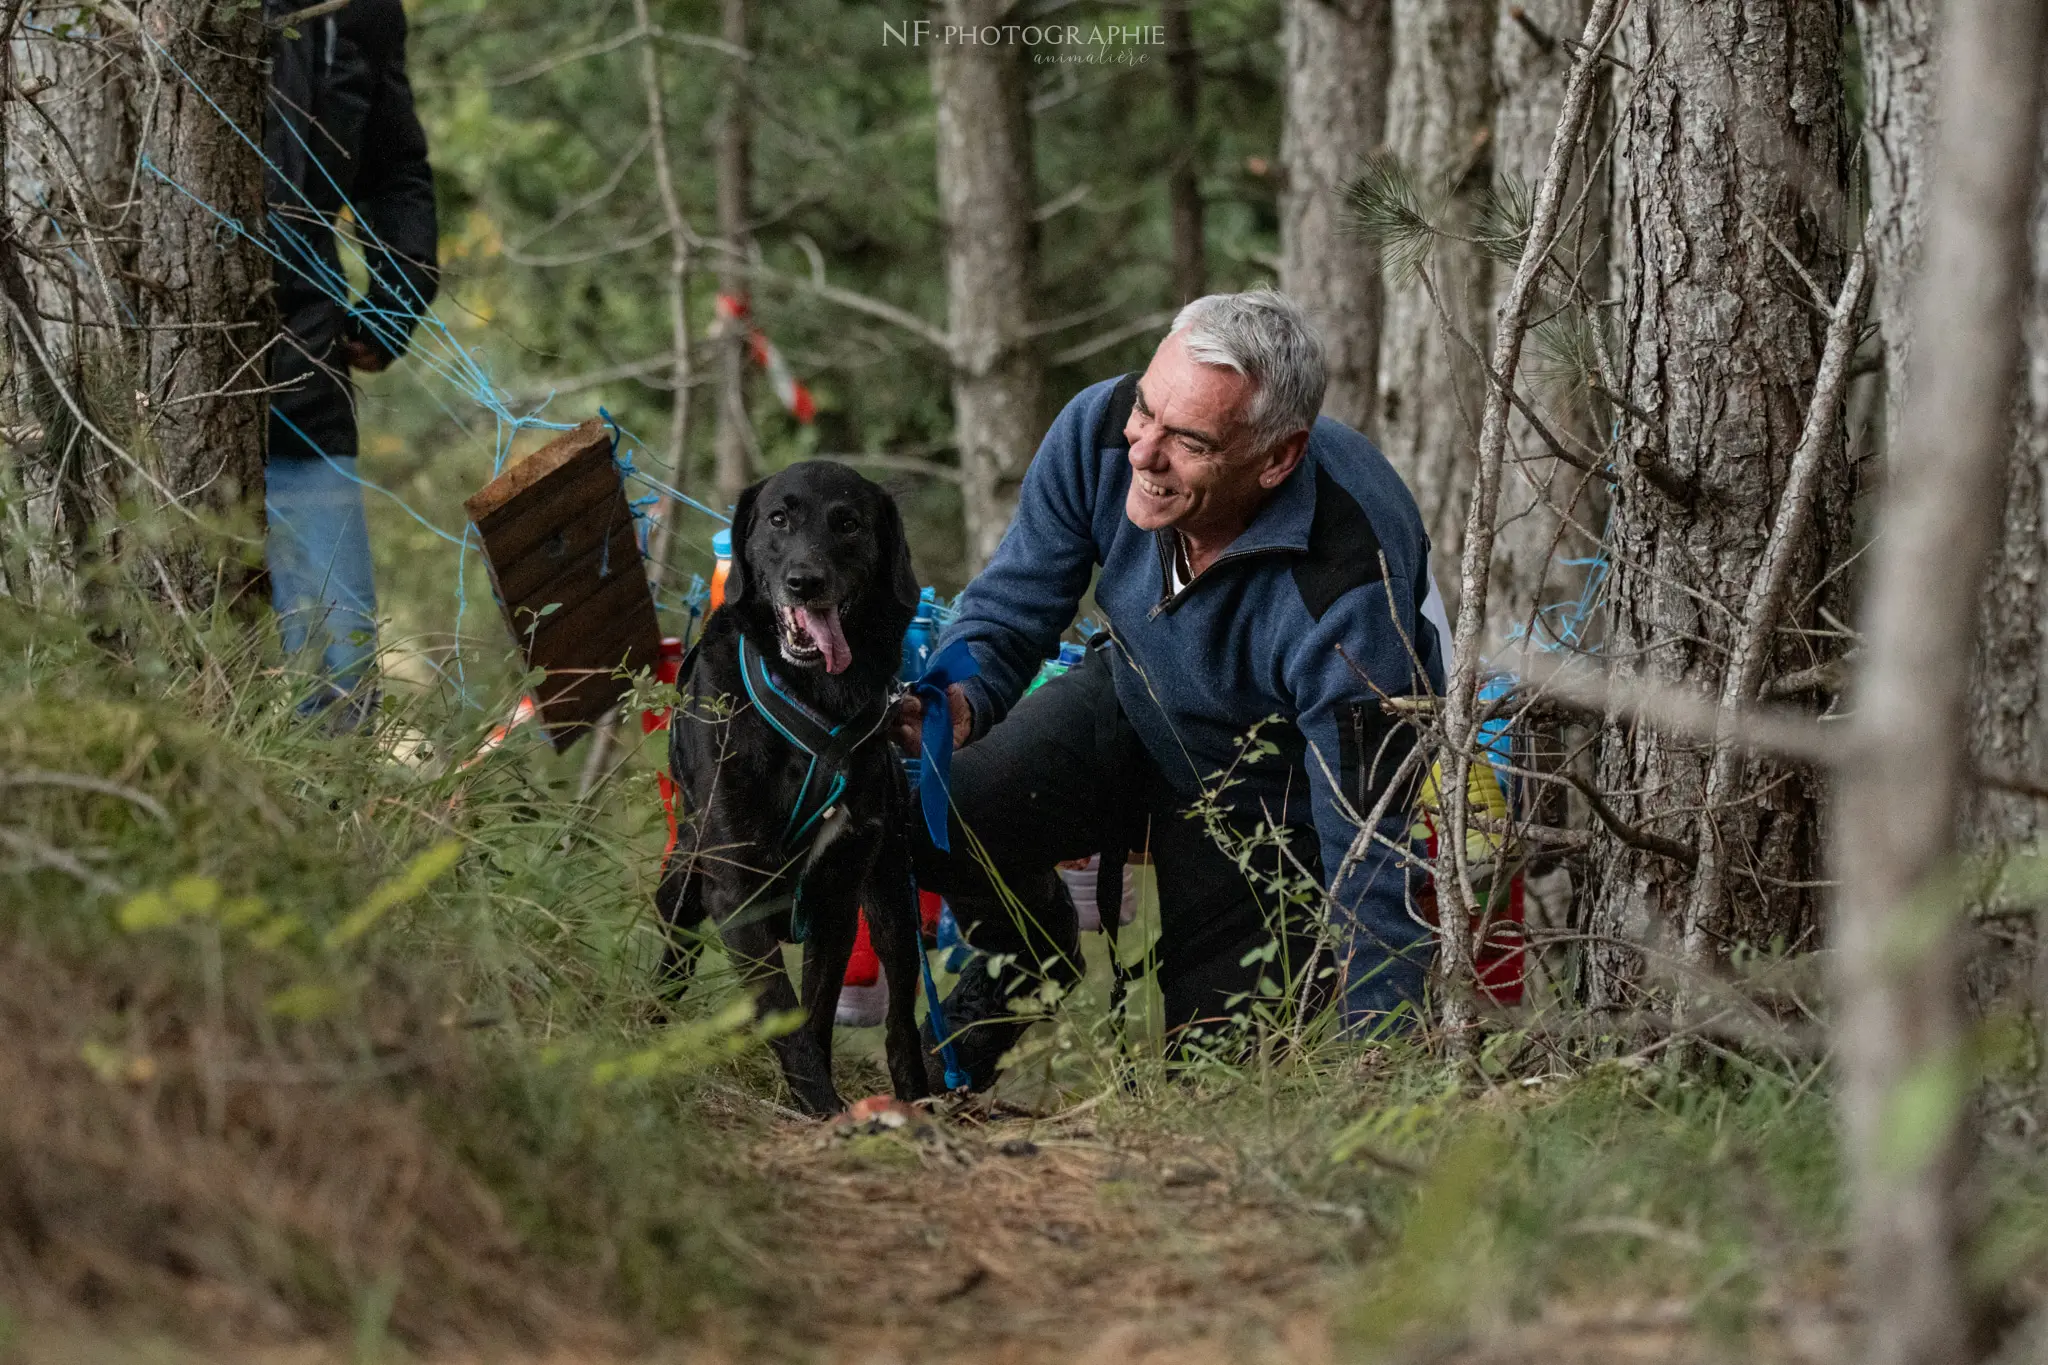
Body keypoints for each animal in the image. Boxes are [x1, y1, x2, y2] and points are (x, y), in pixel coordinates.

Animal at [655, 464, 929, 1113]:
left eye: (848, 523)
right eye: (778, 518)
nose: (806, 582)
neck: (812, 696)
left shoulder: (836, 896)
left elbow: (815, 1014)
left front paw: (820, 1103)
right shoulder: (734, 890)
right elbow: (782, 1010)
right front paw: (821, 1106)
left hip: (892, 899)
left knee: (902, 1016)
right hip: (684, 877)